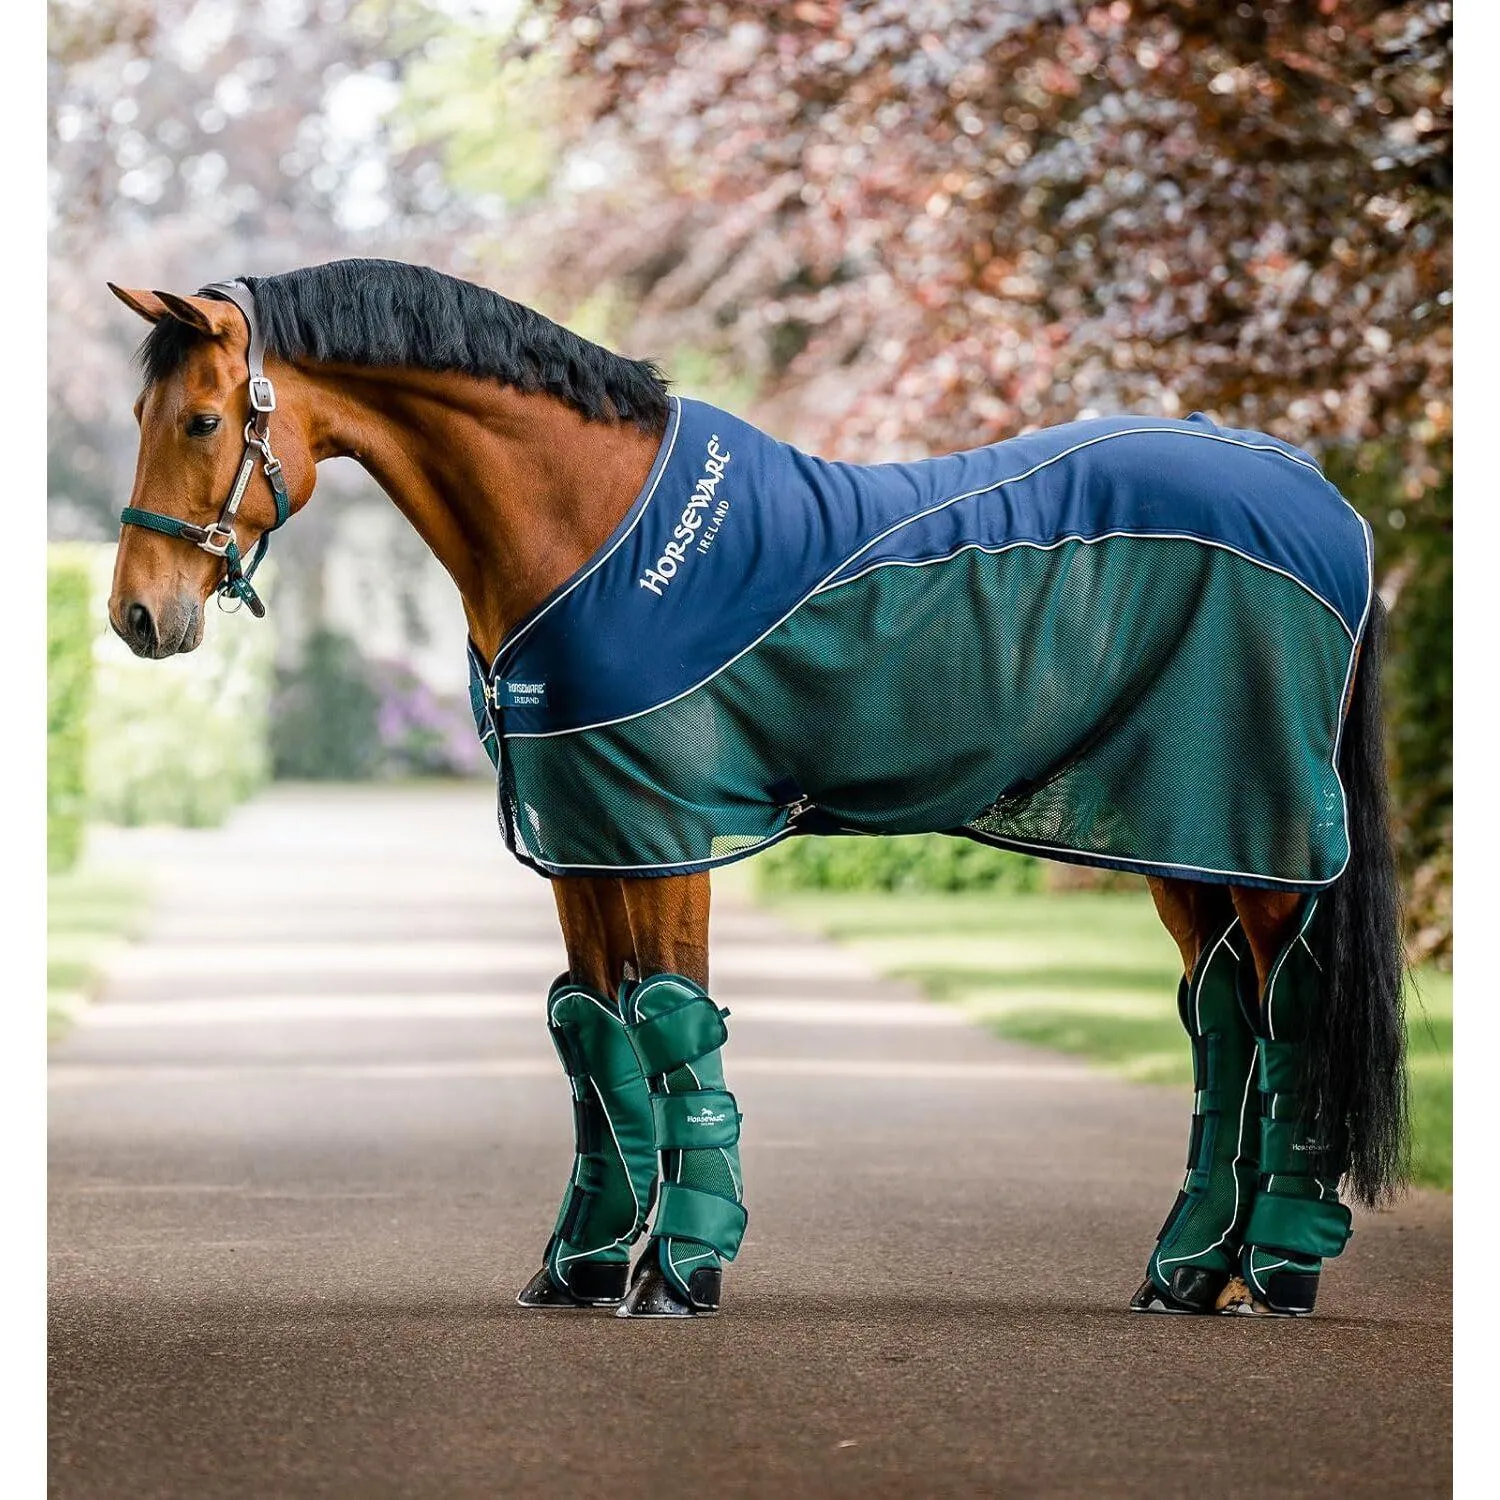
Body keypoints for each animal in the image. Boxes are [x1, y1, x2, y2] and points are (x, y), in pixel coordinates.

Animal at [105, 258, 1408, 1319]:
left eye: (205, 417)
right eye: (140, 415)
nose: (136, 617)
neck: (596, 533)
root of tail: (1323, 499)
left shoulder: (661, 832)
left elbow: (673, 1026)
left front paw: (679, 1271)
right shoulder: (583, 834)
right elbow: (595, 1036)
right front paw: (582, 1268)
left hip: (1252, 831)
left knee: (1289, 1015)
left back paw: (1277, 1274)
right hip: (1185, 832)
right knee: (1227, 1018)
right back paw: (1191, 1272)